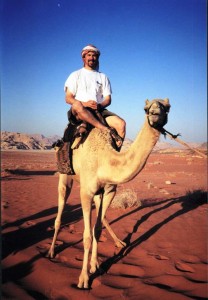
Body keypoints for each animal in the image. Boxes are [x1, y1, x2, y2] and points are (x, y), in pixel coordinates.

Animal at [47, 98, 171, 288]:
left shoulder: (109, 191)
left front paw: (94, 266)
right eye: (146, 109)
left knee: (101, 218)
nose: (155, 114)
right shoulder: (86, 192)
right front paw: (83, 279)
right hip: (64, 177)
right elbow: (87, 236)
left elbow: (96, 229)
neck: (104, 158)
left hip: (99, 193)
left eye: (167, 108)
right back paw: (52, 251)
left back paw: (118, 243)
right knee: (59, 213)